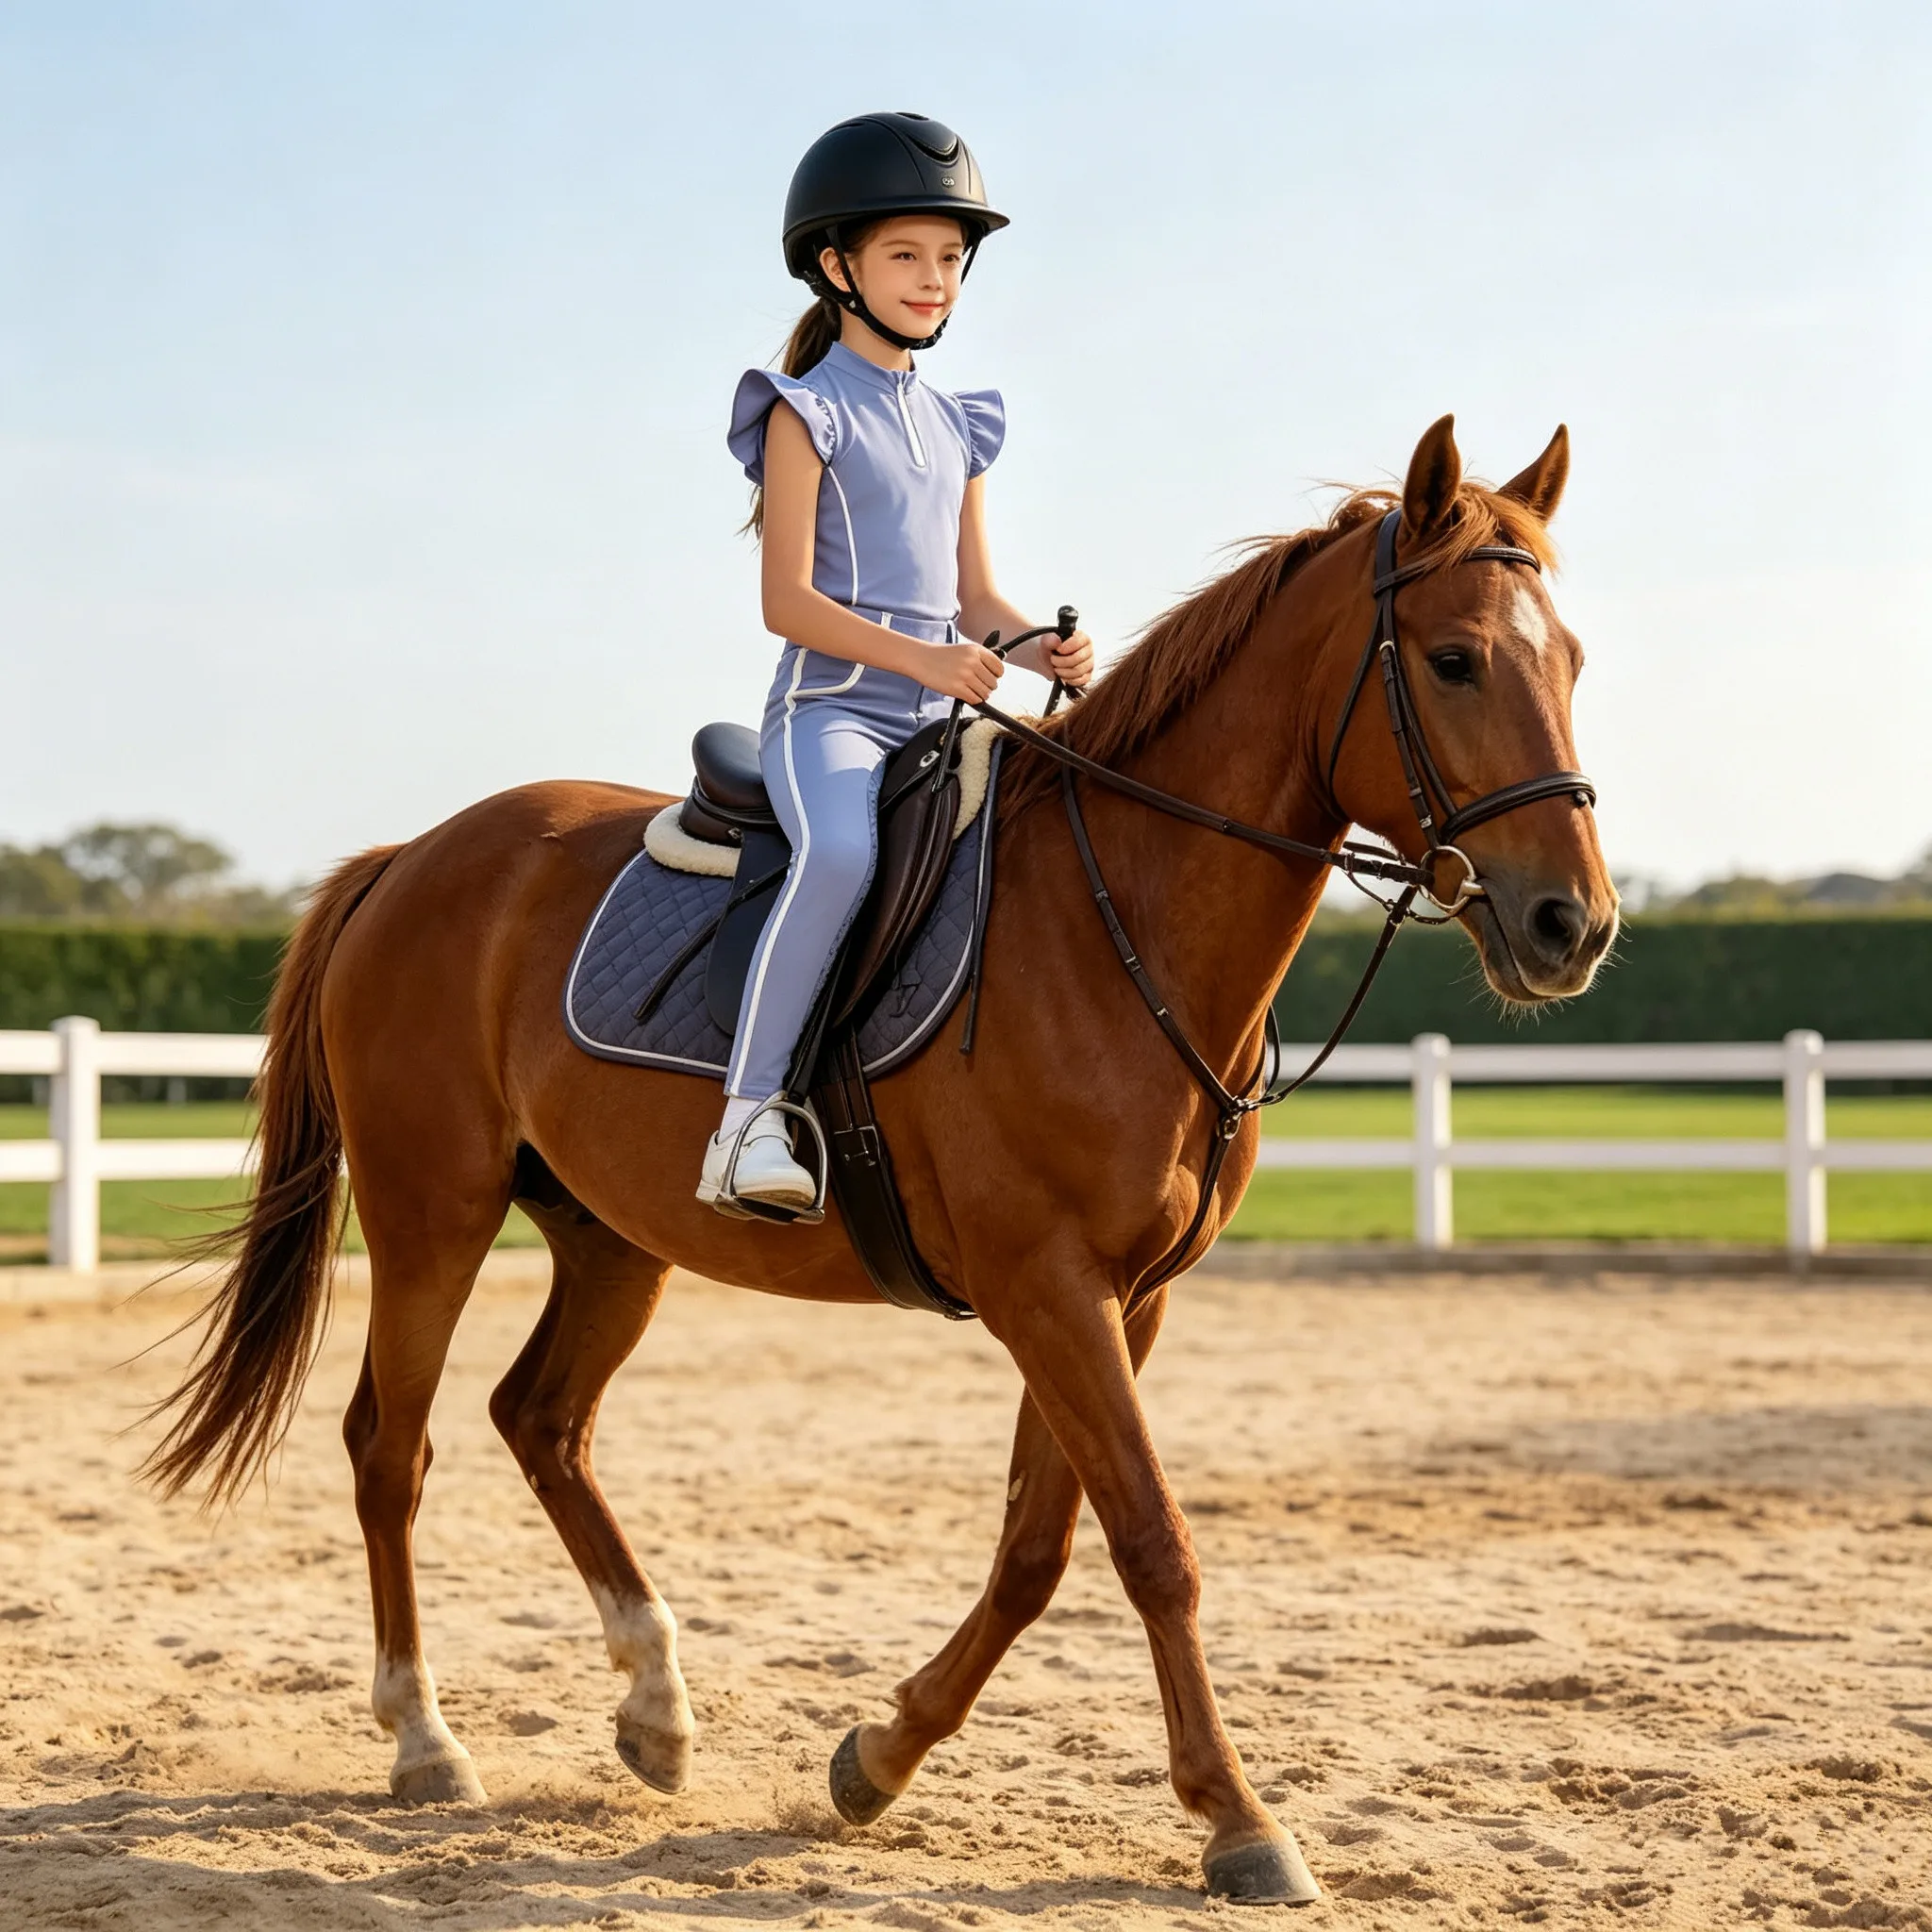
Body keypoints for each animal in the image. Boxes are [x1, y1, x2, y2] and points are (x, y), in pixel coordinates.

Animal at [142, 415, 1617, 1905]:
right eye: (1453, 658)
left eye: (1568, 659)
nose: (1574, 924)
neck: (1117, 918)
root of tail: (412, 856)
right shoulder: (1046, 1288)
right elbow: (1152, 1542)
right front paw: (1239, 1820)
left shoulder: (1122, 1300)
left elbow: (1036, 1548)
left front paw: (881, 1756)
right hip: (430, 1213)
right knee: (392, 1447)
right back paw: (425, 1741)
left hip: (612, 1240)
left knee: (540, 1420)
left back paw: (656, 1707)